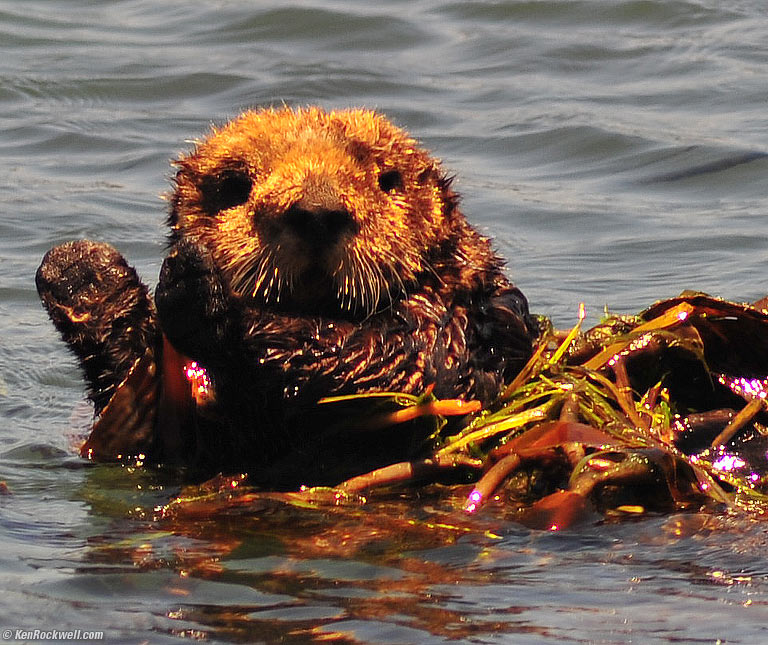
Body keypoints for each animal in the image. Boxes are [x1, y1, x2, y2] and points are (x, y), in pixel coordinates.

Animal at [37, 107, 538, 487]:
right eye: (235, 185)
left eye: (388, 180)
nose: (317, 212)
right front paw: (82, 273)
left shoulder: (460, 324)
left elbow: (401, 364)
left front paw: (204, 293)